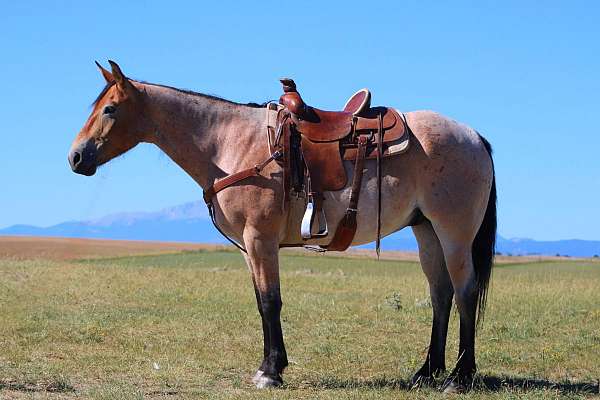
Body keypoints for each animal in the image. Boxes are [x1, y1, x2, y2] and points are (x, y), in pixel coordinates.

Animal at [68, 62, 496, 394]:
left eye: (109, 109)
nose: (75, 157)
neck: (230, 144)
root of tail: (474, 137)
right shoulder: (249, 247)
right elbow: (261, 301)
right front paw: (269, 366)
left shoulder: (260, 239)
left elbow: (271, 302)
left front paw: (271, 372)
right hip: (427, 233)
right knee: (440, 295)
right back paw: (426, 373)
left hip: (454, 234)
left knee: (464, 292)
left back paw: (459, 377)